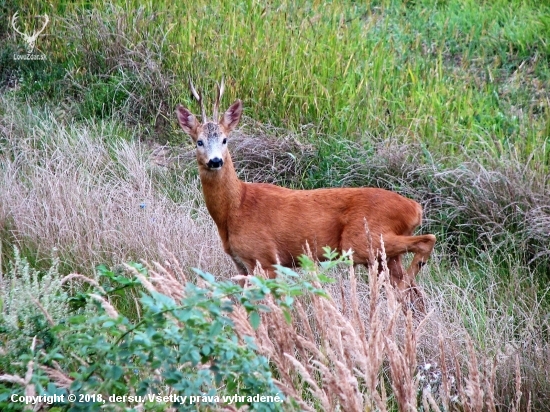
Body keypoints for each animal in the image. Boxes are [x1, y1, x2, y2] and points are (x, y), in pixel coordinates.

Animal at [176, 80, 436, 300]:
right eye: (199, 141)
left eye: (225, 139)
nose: (215, 161)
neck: (236, 207)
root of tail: (415, 208)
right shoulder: (241, 263)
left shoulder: (265, 258)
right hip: (383, 255)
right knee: (415, 295)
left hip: (364, 239)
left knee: (426, 243)